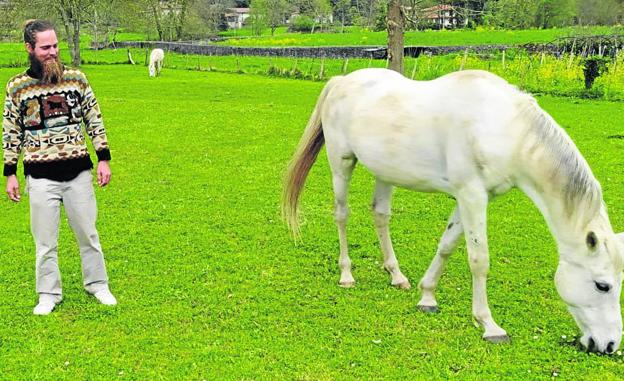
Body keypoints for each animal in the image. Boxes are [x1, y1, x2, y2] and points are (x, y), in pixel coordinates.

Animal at [284, 68, 624, 354]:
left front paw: (427, 296)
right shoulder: (472, 195)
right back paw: (346, 274)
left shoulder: (472, 197)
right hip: (341, 163)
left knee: (380, 215)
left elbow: (447, 246)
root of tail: (342, 80)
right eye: (602, 285)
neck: (503, 128)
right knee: (342, 215)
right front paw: (489, 325)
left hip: (385, 174)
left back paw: (396, 275)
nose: (608, 345)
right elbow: (479, 260)